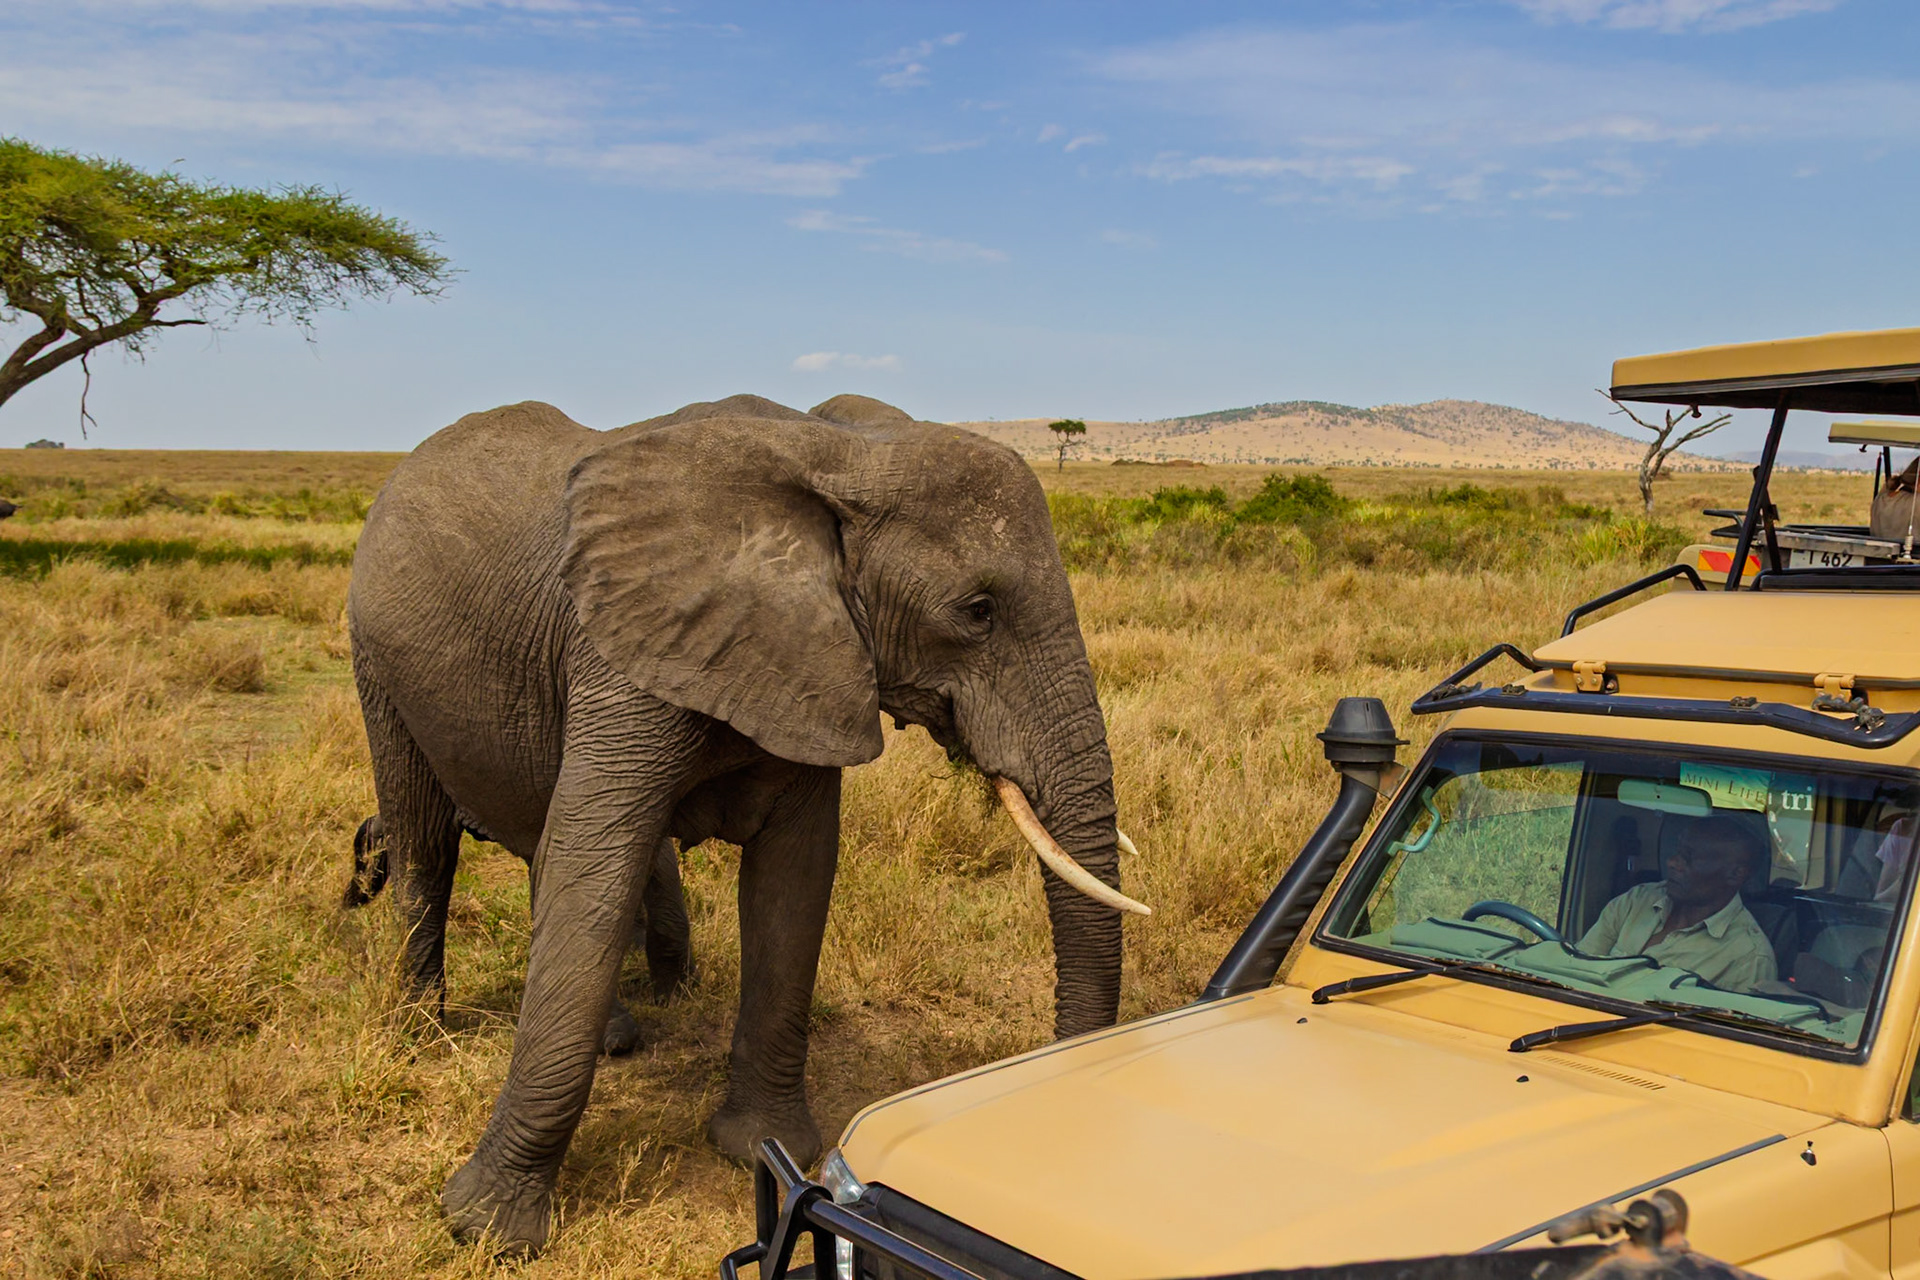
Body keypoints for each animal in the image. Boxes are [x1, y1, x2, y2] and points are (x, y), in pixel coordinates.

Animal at [345, 391, 1148, 1255]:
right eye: (977, 611)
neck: (840, 456)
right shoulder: (624, 657)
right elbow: (598, 867)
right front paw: (487, 1228)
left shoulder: (815, 664)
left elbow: (793, 880)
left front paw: (763, 1148)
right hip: (375, 657)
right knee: (426, 842)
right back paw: (419, 1036)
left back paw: (611, 1038)